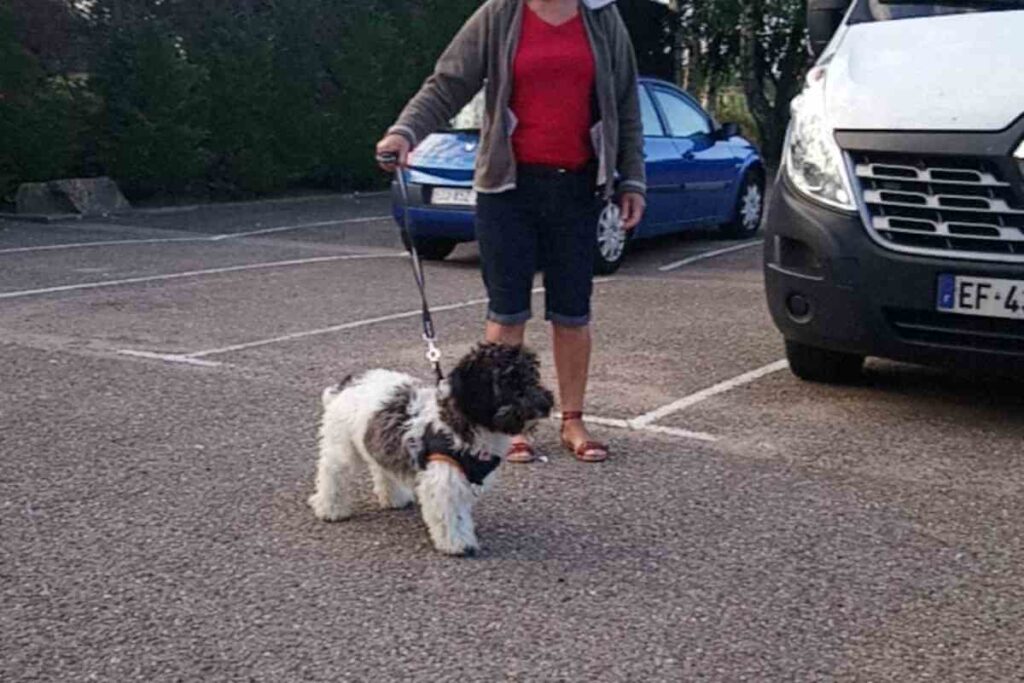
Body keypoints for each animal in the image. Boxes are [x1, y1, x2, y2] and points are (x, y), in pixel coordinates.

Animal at [309, 344, 552, 557]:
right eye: (509, 381)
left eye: (532, 376)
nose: (544, 404)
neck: (459, 422)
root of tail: (347, 384)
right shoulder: (443, 478)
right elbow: (451, 515)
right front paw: (458, 544)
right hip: (341, 447)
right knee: (333, 474)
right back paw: (330, 509)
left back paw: (394, 498)